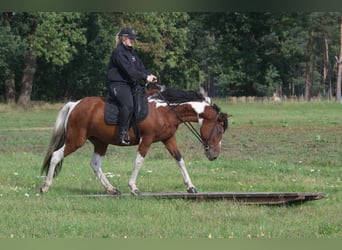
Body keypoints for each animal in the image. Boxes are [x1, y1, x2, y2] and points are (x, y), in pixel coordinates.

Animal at [40, 88, 230, 195]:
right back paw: (45, 187)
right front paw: (133, 187)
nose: (214, 155)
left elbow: (180, 160)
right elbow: (139, 162)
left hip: (101, 142)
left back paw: (111, 189)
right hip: (76, 140)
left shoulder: (168, 139)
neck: (166, 111)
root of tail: (75, 104)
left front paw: (190, 187)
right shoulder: (147, 139)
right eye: (219, 130)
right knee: (56, 156)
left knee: (95, 164)